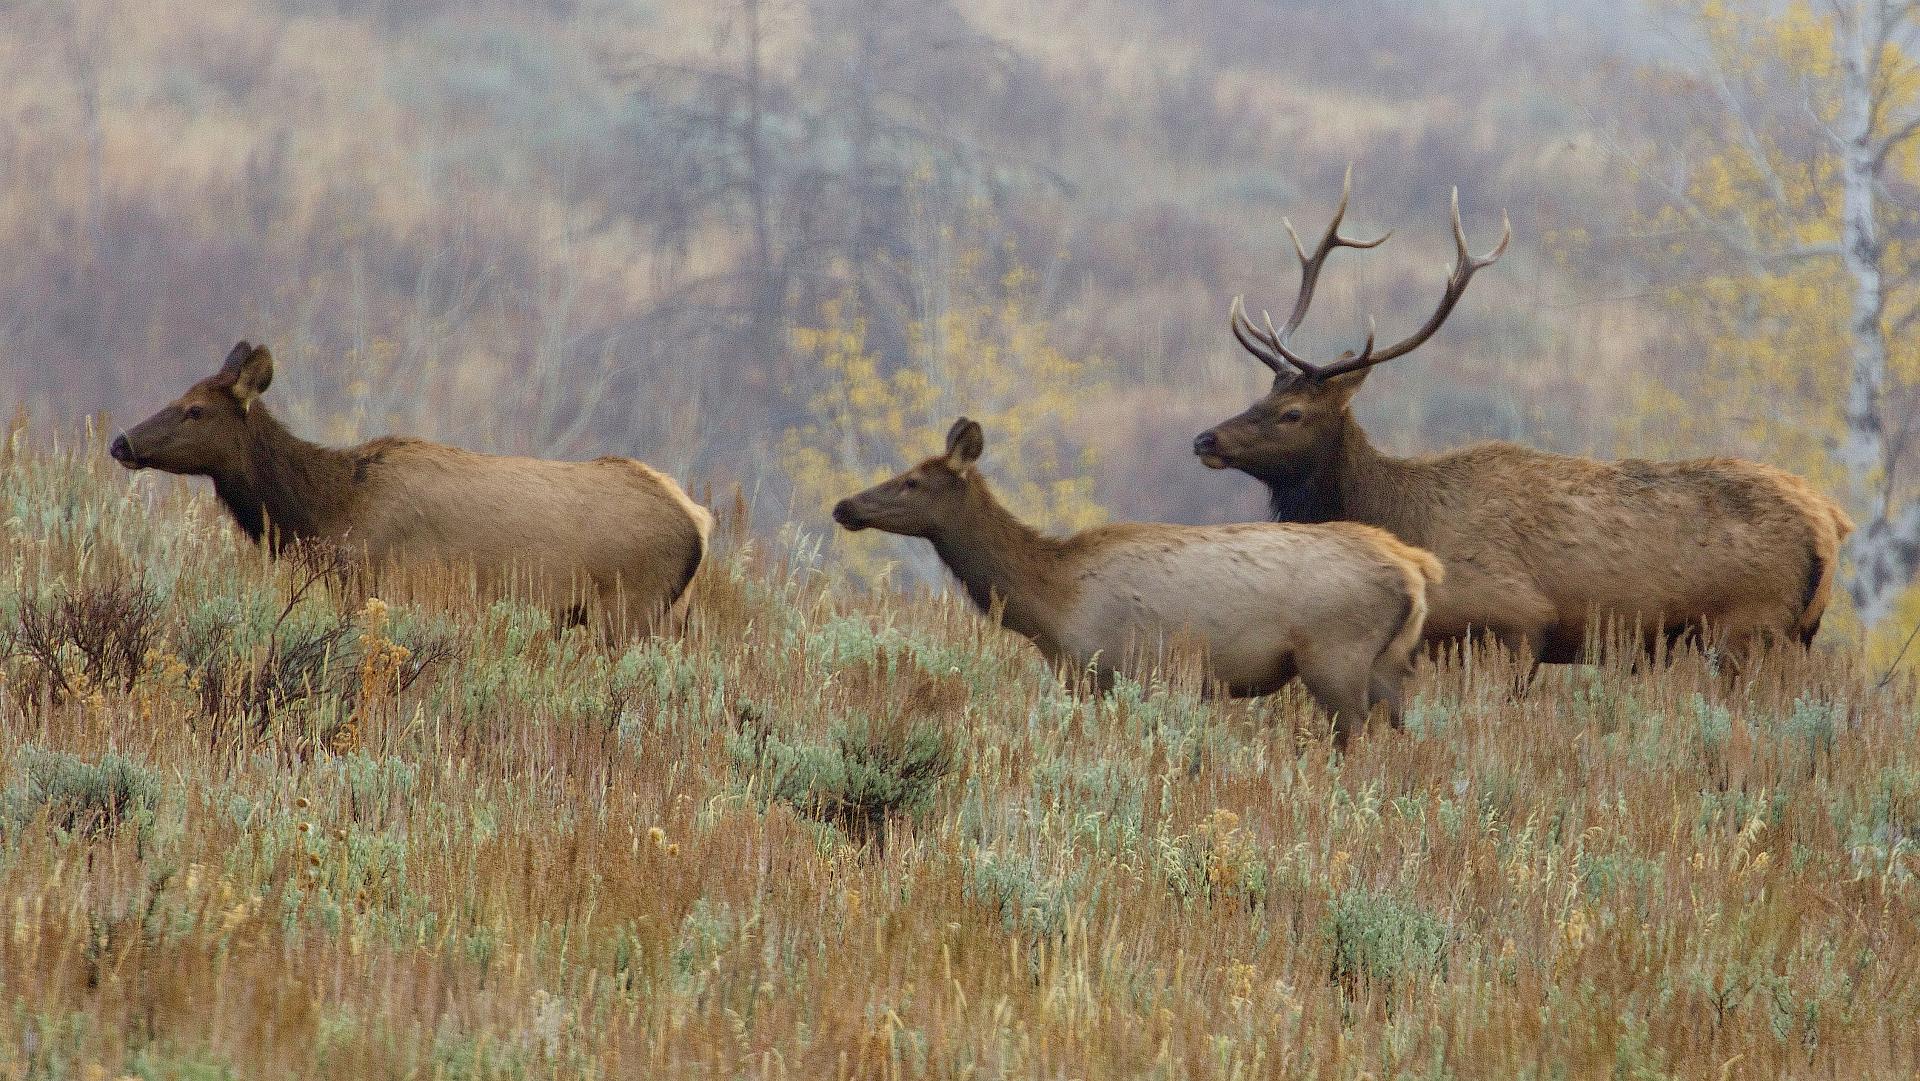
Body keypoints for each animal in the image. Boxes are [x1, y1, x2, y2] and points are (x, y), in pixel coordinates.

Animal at [829, 416, 1443, 744]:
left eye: (912, 481)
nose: (844, 506)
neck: (1050, 601)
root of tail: (1414, 569)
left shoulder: (1121, 669)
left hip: (1336, 656)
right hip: (1388, 664)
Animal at [1190, 173, 1850, 664]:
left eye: (1293, 412)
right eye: (1260, 394)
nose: (1204, 438)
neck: (1402, 515)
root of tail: (1830, 524)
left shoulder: (1514, 622)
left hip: (1751, 626)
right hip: (1793, 632)